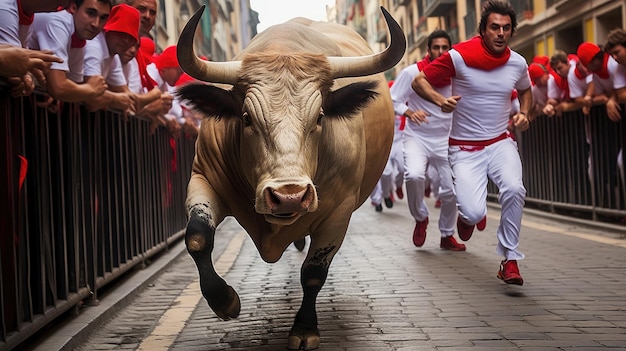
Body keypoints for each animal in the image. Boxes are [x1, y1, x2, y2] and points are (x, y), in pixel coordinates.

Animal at [174, 6, 404, 351]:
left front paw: (305, 328)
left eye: (320, 117)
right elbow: (197, 238)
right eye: (246, 118)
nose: (289, 196)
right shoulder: (203, 178)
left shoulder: (339, 211)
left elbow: (313, 272)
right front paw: (225, 301)